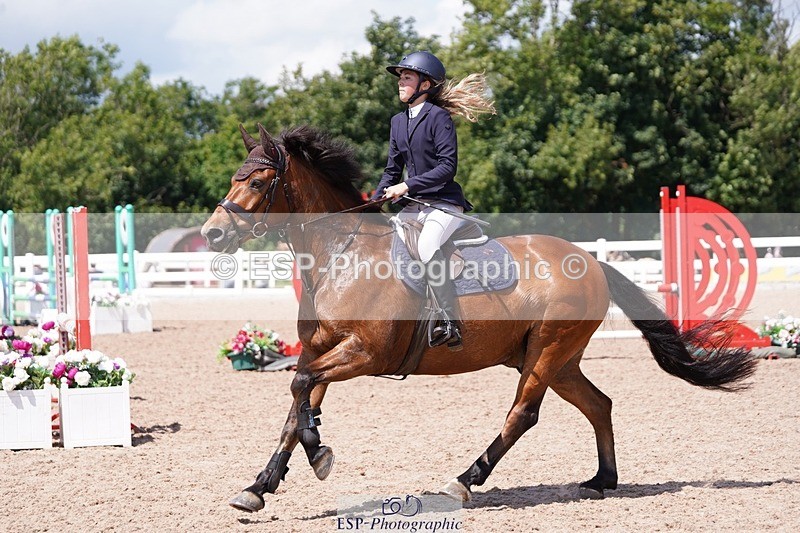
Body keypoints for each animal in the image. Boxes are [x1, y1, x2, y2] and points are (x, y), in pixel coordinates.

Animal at [201, 123, 757, 513]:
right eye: (235, 176)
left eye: (259, 179)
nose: (211, 234)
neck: (341, 255)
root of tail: (591, 260)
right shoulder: (320, 351)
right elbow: (296, 408)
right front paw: (259, 486)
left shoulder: (363, 354)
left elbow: (300, 394)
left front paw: (319, 456)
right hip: (557, 358)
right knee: (599, 404)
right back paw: (603, 480)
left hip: (546, 352)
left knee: (523, 414)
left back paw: (464, 480)